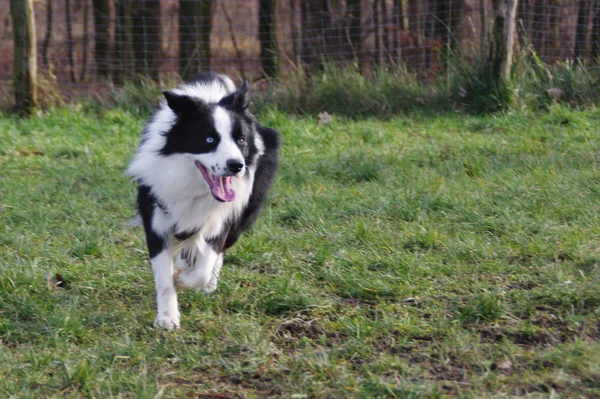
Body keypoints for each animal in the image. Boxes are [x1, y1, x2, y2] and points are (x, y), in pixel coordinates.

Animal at [127, 73, 282, 330]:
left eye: (241, 140)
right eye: (209, 139)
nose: (236, 166)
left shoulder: (220, 219)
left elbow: (205, 266)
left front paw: (183, 277)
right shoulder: (157, 219)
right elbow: (163, 276)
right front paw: (167, 318)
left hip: (244, 213)